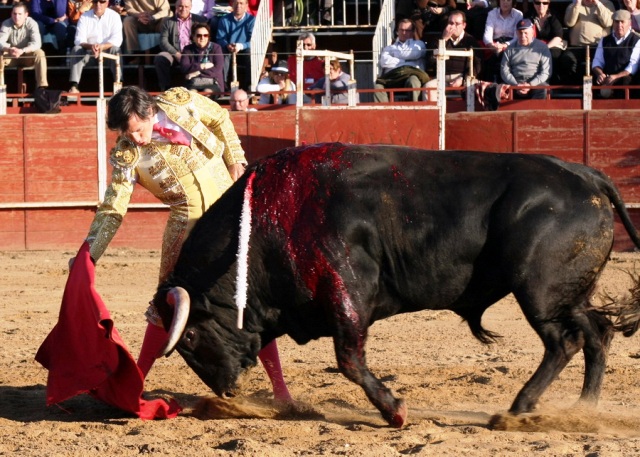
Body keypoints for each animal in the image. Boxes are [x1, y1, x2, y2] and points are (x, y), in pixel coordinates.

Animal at [154, 143, 640, 428]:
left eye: (190, 337)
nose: (226, 391)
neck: (269, 219)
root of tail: (586, 175)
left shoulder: (347, 290)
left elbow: (350, 360)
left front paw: (395, 411)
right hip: (567, 293)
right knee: (597, 332)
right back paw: (582, 409)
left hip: (539, 293)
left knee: (564, 341)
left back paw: (519, 408)